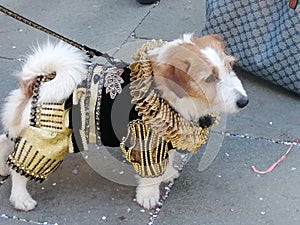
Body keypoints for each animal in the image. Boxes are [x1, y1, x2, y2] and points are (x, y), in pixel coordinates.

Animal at [0, 33, 248, 211]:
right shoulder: (146, 140)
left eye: (229, 67)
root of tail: (37, 80)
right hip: (45, 139)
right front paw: (148, 196)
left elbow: (166, 160)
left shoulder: (165, 136)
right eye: (209, 78)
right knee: (20, 168)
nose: (244, 102)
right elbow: (150, 175)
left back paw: (2, 169)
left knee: (4, 143)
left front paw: (167, 174)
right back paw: (21, 198)